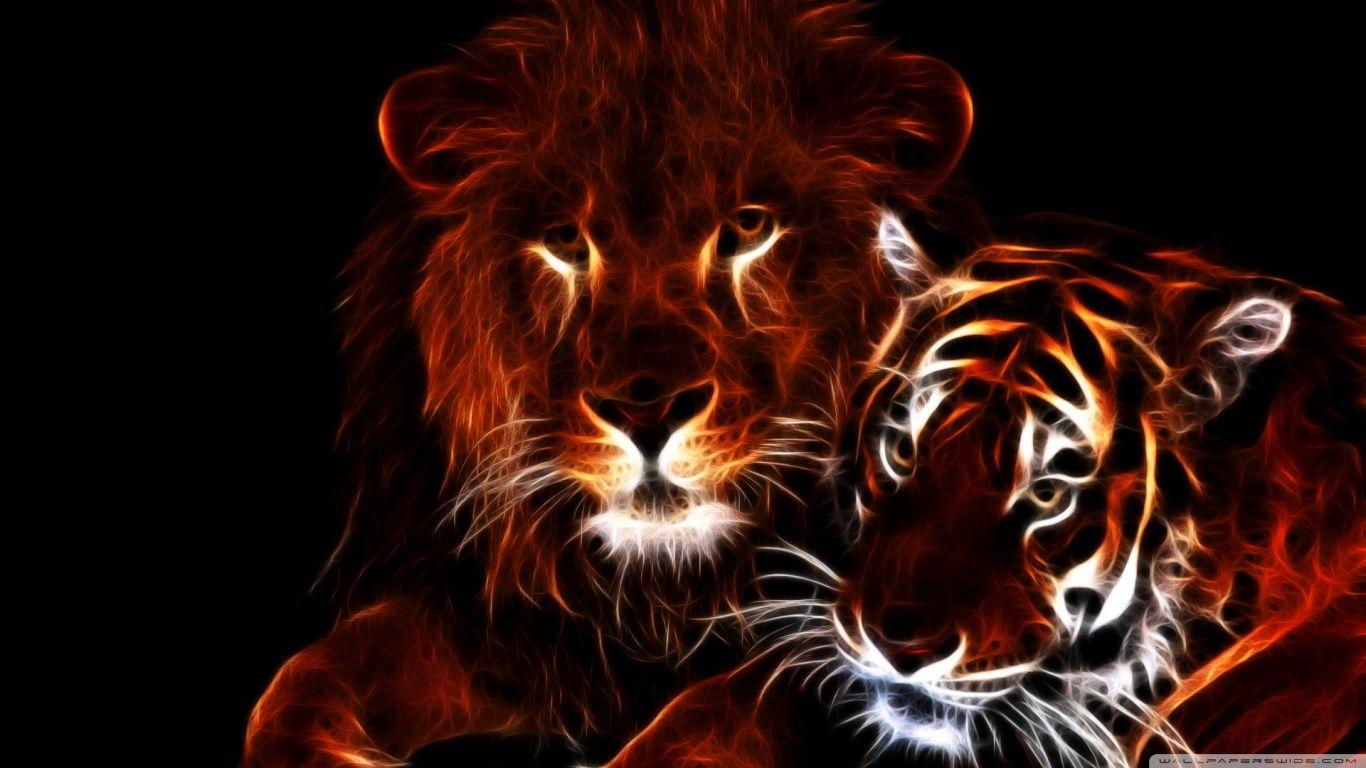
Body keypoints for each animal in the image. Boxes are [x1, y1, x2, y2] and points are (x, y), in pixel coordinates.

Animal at [242, 2, 976, 765]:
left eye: (749, 228)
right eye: (566, 240)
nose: (645, 413)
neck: (664, 596)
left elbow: (721, 712)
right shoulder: (513, 626)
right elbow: (313, 672)